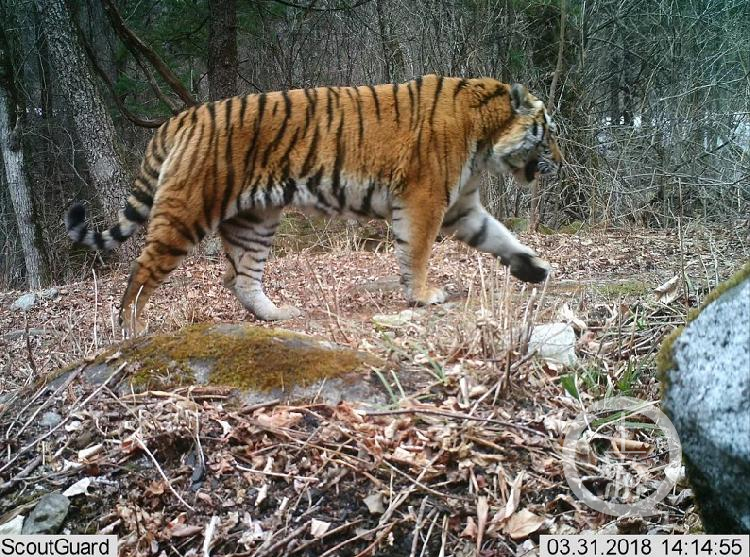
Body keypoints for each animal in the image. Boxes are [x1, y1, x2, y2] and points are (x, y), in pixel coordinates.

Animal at [67, 74, 560, 334]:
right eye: (547, 132)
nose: (559, 159)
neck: (486, 136)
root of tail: (181, 117)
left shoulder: (460, 205)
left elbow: (499, 236)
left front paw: (535, 268)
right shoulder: (425, 198)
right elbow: (417, 252)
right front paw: (423, 295)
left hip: (255, 219)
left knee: (241, 279)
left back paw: (279, 315)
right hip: (187, 213)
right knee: (141, 274)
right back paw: (130, 329)